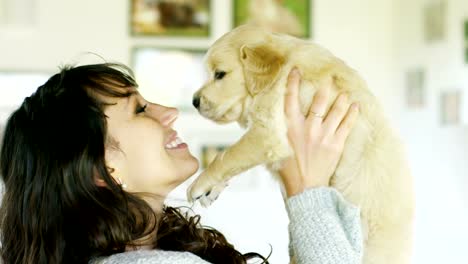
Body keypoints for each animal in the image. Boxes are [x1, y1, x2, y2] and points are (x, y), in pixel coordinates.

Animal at [188, 25, 414, 264]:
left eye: (220, 74)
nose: (194, 101)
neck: (283, 71)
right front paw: (211, 189)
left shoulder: (268, 132)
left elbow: (228, 155)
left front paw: (199, 184)